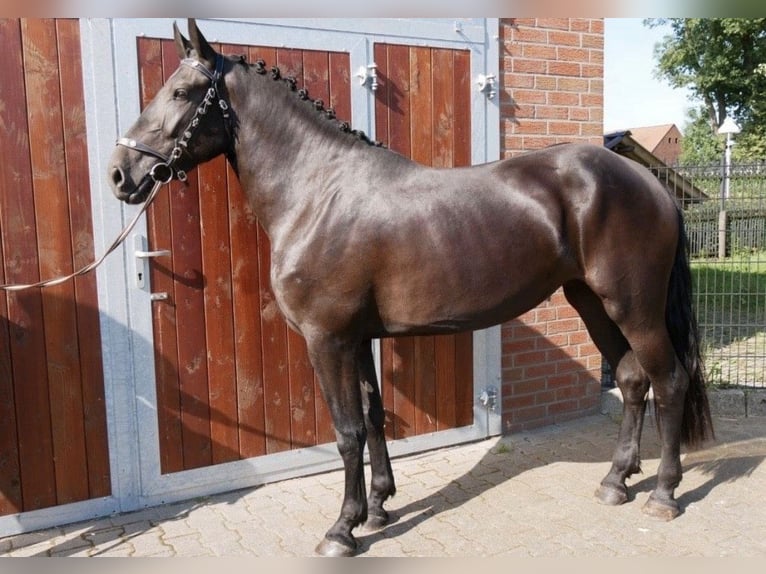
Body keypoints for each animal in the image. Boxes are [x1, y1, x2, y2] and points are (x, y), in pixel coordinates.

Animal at [108, 19, 713, 557]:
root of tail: (650, 184)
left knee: (669, 381)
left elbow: (347, 430)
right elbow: (374, 417)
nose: (119, 175)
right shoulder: (355, 338)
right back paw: (616, 481)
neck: (318, 192)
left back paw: (663, 493)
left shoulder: (326, 339)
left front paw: (342, 530)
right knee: (633, 379)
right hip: (593, 303)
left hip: (633, 307)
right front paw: (378, 507)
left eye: (181, 92)